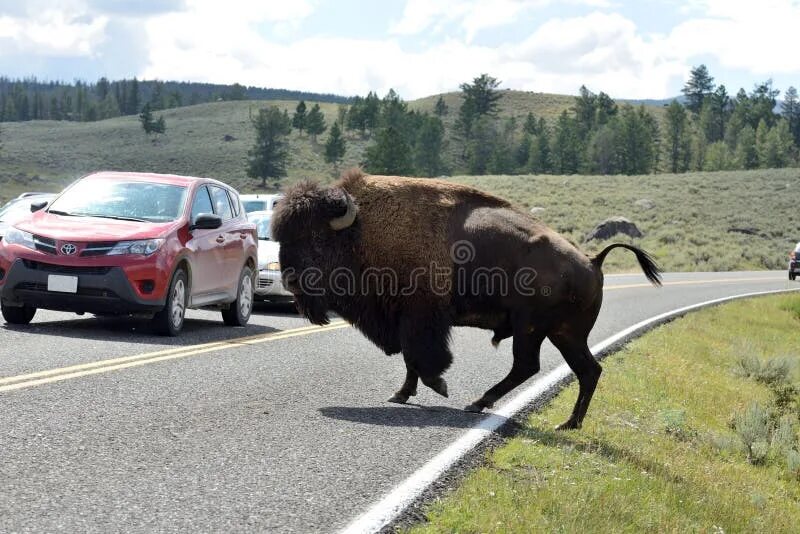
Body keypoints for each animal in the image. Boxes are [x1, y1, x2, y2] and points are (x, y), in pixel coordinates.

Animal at [272, 172, 660, 432]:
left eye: (316, 238)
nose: (289, 279)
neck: (362, 231)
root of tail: (593, 261)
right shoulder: (406, 320)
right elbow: (410, 361)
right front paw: (401, 395)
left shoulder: (420, 319)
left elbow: (420, 357)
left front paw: (439, 387)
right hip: (565, 334)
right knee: (587, 370)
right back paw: (568, 423)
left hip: (532, 328)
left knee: (529, 366)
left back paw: (478, 404)